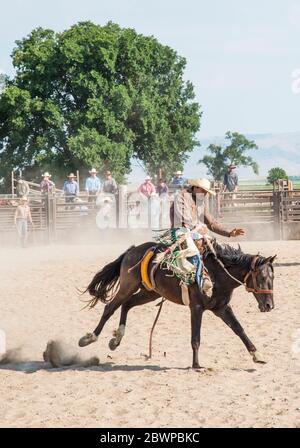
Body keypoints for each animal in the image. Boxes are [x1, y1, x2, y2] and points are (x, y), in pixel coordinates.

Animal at [78, 240, 276, 370]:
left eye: (272, 277)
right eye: (261, 277)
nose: (269, 305)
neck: (216, 274)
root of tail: (132, 251)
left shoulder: (222, 308)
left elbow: (239, 330)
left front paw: (257, 355)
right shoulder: (196, 308)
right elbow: (195, 338)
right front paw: (196, 364)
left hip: (150, 293)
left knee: (127, 305)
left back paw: (116, 339)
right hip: (128, 286)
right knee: (110, 308)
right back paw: (89, 338)